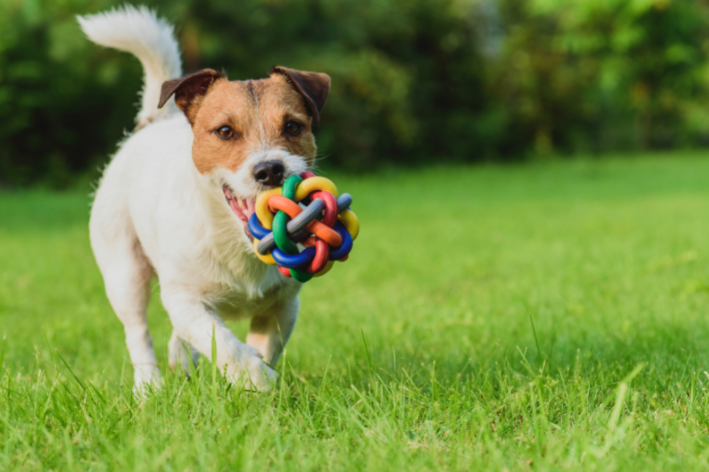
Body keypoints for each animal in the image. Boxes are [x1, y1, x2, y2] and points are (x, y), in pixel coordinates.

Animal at [76, 6, 330, 390]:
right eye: (225, 131)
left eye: (292, 126)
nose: (270, 170)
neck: (237, 242)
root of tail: (154, 121)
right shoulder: (184, 299)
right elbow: (223, 342)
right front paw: (256, 378)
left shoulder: (283, 306)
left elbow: (263, 345)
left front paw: (261, 380)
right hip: (124, 272)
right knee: (137, 332)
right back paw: (148, 387)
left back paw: (180, 360)